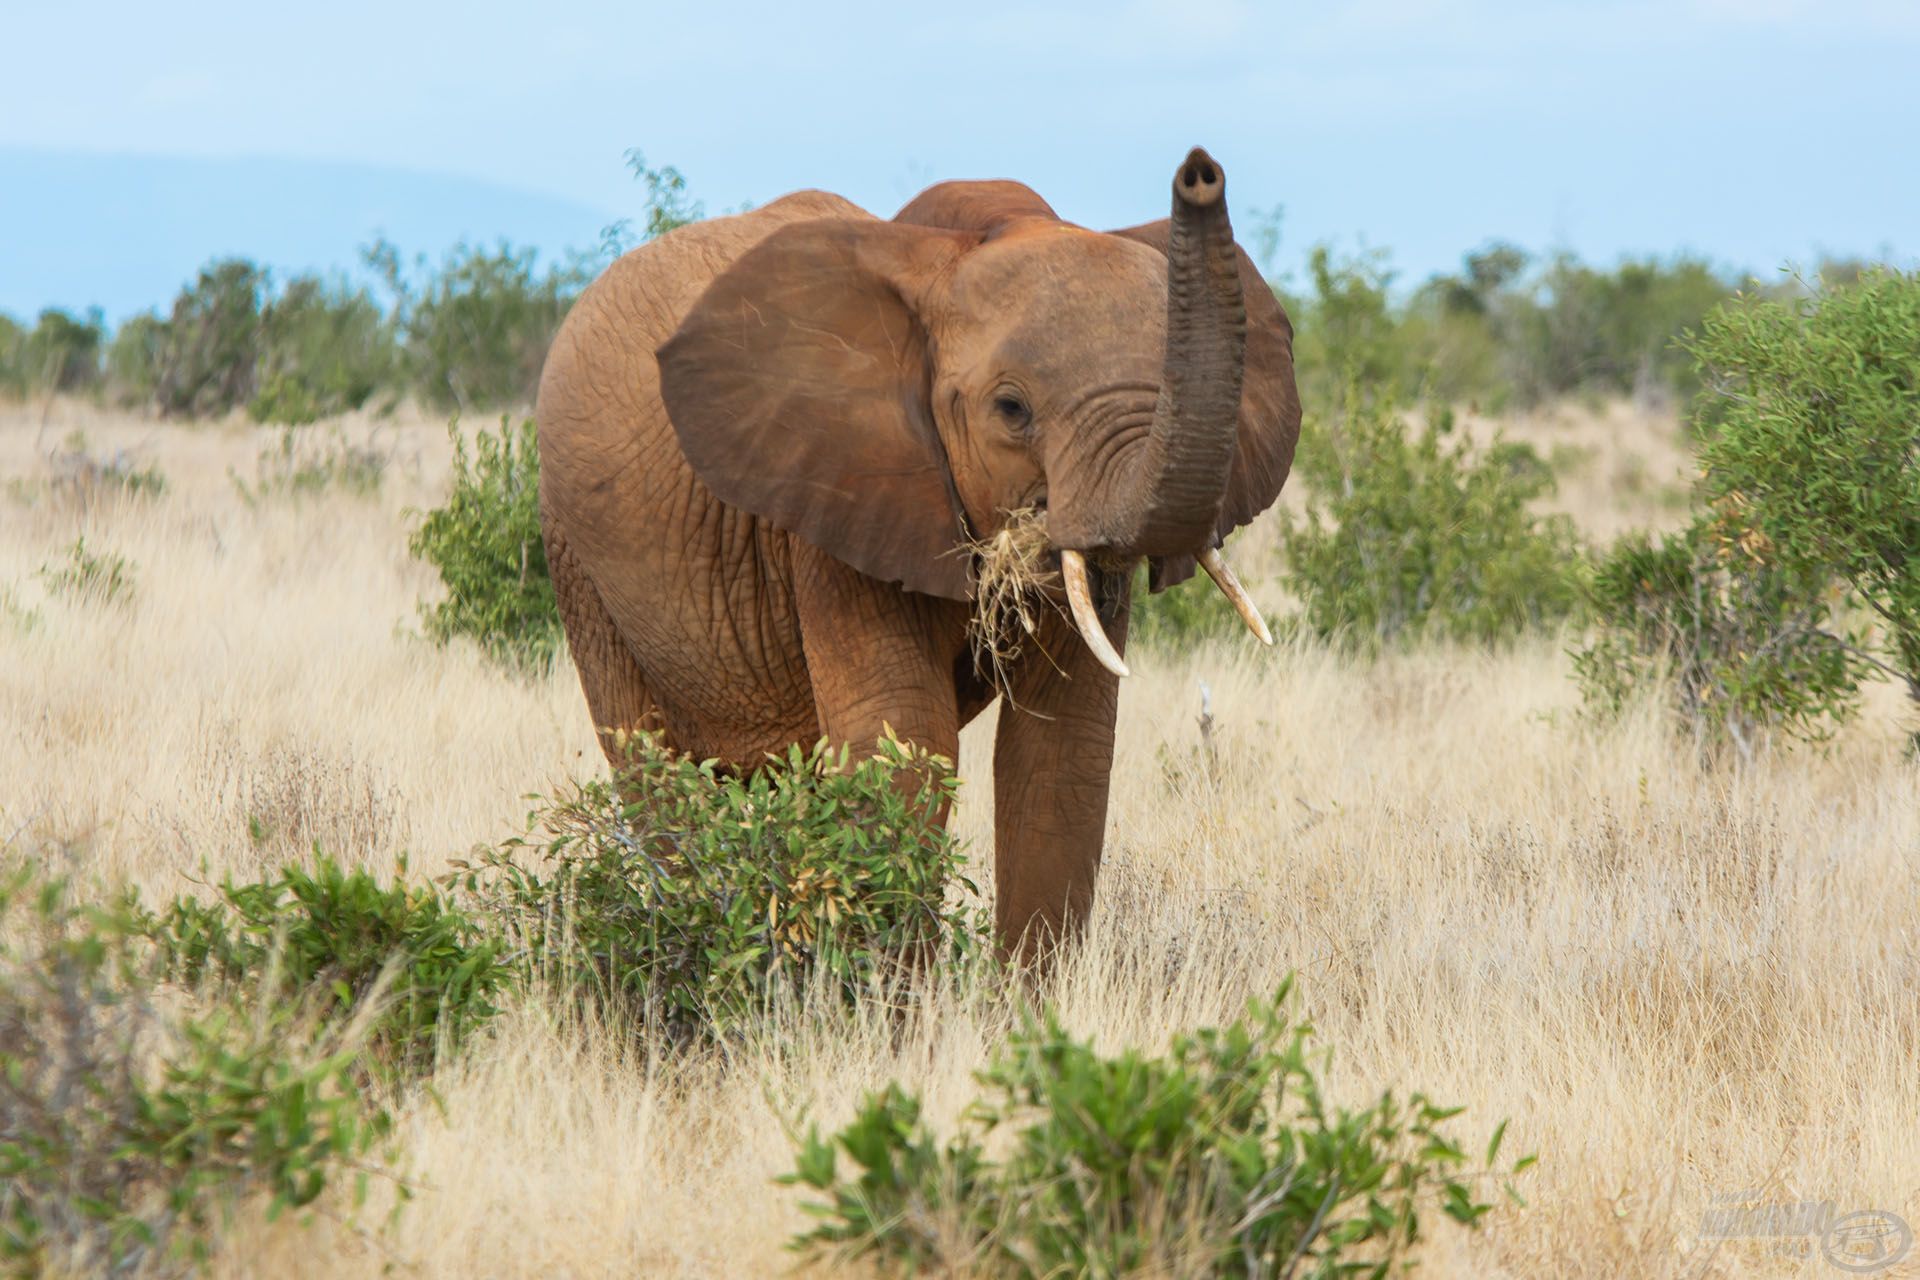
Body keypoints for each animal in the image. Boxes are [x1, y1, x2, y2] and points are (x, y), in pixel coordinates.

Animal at [533, 147, 1297, 951]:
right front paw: (896, 990)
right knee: (653, 771)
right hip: (575, 558)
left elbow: (1062, 755)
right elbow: (902, 743)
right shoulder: (834, 501)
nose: (1200, 170)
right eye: (1012, 409)